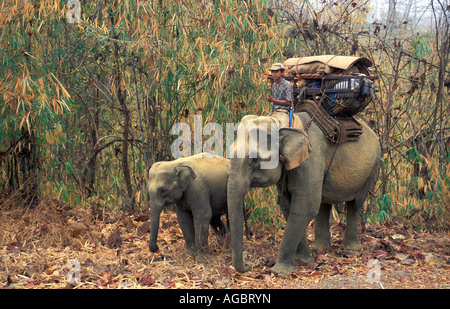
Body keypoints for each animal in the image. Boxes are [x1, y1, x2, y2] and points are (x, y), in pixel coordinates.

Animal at [229, 111, 380, 274]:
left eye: (254, 159)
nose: (248, 265)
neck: (281, 123)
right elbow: (288, 206)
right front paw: (304, 259)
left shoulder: (310, 159)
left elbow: (306, 206)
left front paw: (280, 271)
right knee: (324, 205)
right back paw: (320, 248)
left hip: (371, 169)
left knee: (355, 204)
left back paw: (351, 251)